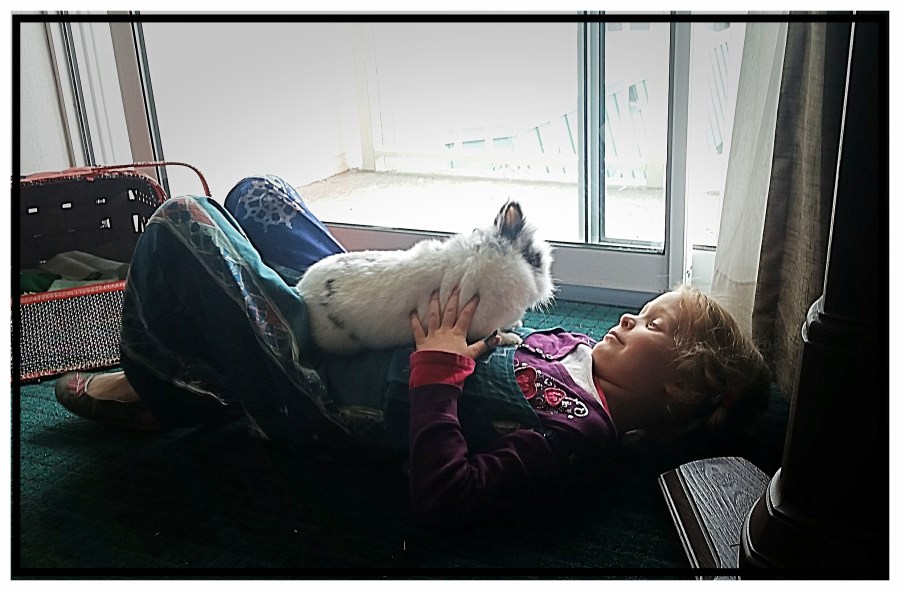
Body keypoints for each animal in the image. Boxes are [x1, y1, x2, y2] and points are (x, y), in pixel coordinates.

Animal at [296, 200, 554, 355]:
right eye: (534, 258)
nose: (547, 285)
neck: (499, 259)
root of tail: (302, 292)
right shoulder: (483, 325)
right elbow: (494, 333)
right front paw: (513, 339)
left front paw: (516, 326)